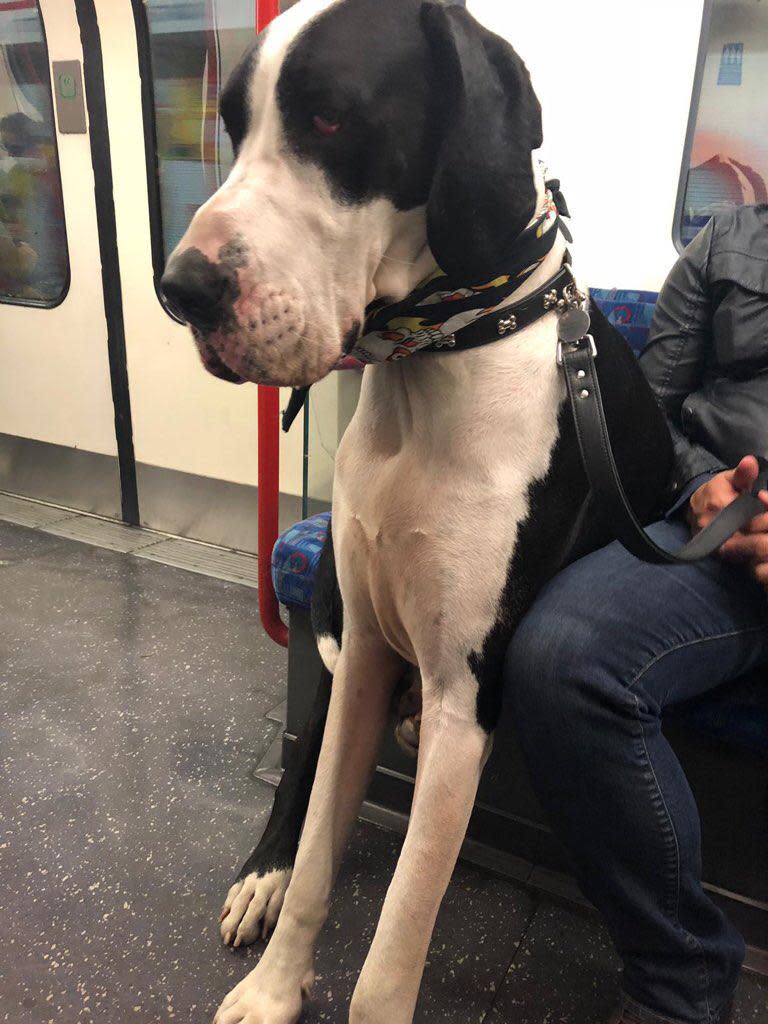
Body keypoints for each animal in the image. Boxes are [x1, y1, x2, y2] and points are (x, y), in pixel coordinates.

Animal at [162, 4, 671, 1019]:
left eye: (330, 117)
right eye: (232, 127)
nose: (180, 290)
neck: (433, 362)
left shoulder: (462, 698)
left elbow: (394, 946)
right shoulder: (360, 653)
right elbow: (319, 854)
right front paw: (275, 989)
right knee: (300, 767)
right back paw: (263, 874)